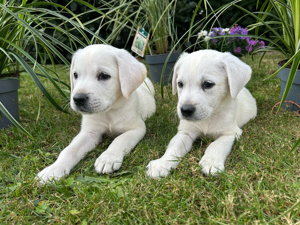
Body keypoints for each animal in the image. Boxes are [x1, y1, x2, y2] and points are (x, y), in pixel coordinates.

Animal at [37, 44, 157, 184]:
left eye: (104, 75)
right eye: (75, 75)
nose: (78, 99)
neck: (108, 112)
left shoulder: (137, 128)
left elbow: (119, 140)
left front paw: (107, 158)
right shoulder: (89, 132)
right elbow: (69, 150)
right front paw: (53, 170)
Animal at [146, 49, 256, 179]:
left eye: (208, 84)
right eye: (180, 84)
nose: (185, 110)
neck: (208, 118)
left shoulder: (231, 133)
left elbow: (216, 145)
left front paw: (211, 162)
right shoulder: (185, 132)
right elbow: (173, 148)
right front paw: (161, 164)